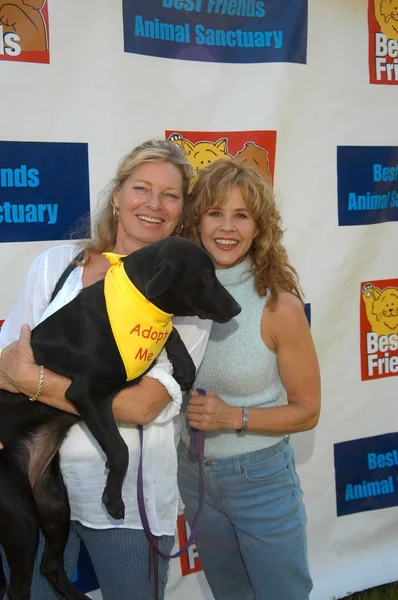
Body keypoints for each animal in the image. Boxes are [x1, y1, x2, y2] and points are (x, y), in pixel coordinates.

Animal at [0, 239, 239, 600]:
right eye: (208, 276)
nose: (237, 308)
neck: (138, 301)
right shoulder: (86, 393)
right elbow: (121, 450)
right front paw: (112, 498)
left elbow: (171, 332)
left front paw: (184, 365)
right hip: (20, 516)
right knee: (18, 587)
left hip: (54, 501)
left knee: (51, 566)